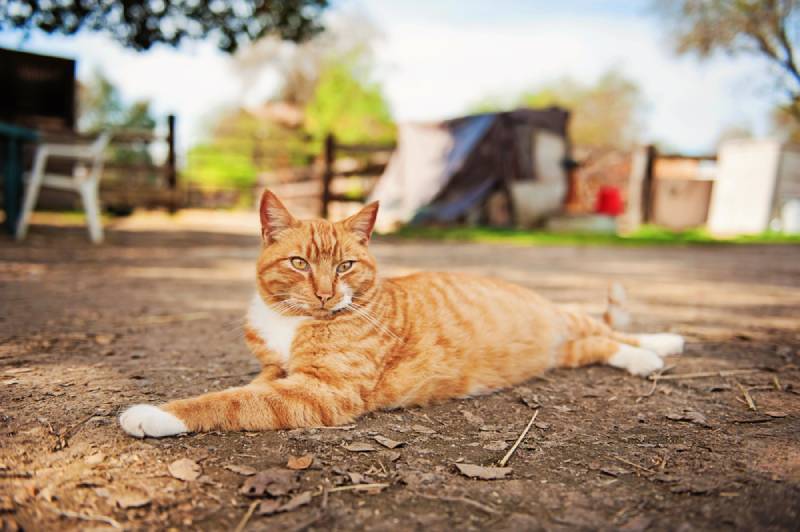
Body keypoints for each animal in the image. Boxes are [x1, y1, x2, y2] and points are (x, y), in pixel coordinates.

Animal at [119, 191, 680, 436]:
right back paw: (659, 348)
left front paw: (157, 413)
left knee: (610, 332)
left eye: (345, 266)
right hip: (564, 350)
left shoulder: (322, 390)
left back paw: (659, 348)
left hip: (565, 323)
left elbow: (227, 402)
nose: (325, 294)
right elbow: (244, 391)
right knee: (603, 342)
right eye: (300, 263)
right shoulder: (277, 373)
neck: (289, 319)